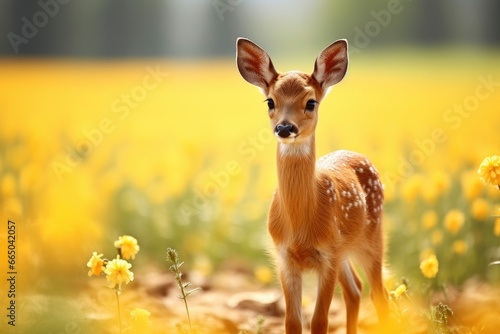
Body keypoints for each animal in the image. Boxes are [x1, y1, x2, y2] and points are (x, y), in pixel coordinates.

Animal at [236, 37, 388, 334]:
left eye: (311, 102)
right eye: (270, 101)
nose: (285, 128)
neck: (300, 226)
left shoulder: (328, 255)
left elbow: (319, 321)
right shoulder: (284, 258)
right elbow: (292, 322)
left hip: (371, 239)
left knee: (380, 294)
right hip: (345, 251)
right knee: (355, 290)